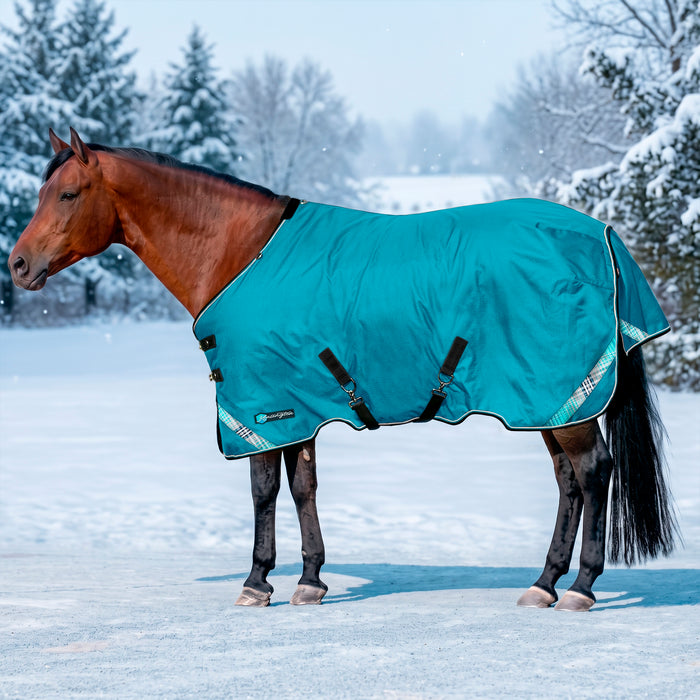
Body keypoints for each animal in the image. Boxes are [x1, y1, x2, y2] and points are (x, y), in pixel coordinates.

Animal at [9, 128, 678, 611]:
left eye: (67, 194)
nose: (17, 264)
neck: (240, 253)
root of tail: (603, 235)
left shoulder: (260, 406)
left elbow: (262, 491)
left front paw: (256, 582)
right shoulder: (298, 407)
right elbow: (302, 487)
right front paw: (308, 579)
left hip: (562, 398)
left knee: (593, 473)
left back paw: (581, 588)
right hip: (544, 402)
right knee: (569, 482)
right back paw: (543, 583)